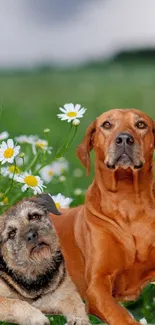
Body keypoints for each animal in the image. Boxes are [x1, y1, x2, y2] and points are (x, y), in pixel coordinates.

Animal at [0, 194, 90, 322]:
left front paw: (79, 320)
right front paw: (36, 317)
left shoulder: (65, 293)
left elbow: (77, 305)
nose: (31, 236)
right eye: (11, 233)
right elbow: (15, 303)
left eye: (34, 216)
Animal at [51, 109, 155, 324]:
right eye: (107, 125)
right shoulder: (97, 284)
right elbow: (120, 314)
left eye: (141, 124)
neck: (127, 199)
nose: (124, 139)